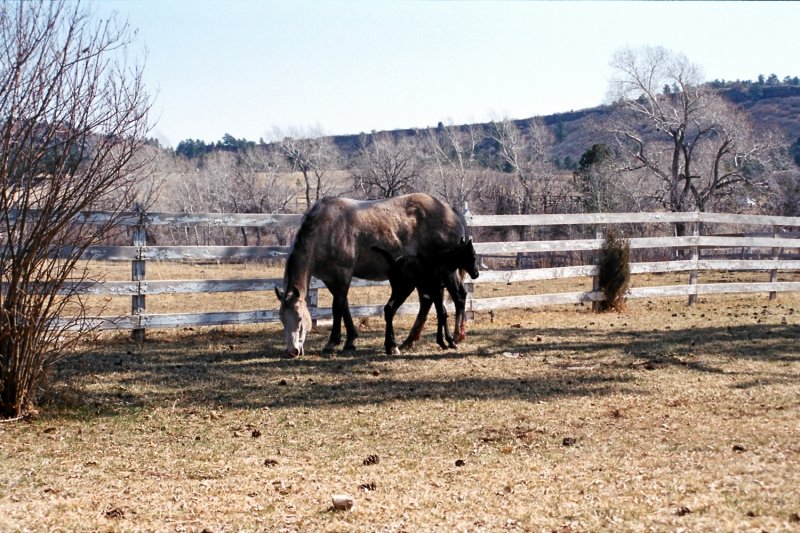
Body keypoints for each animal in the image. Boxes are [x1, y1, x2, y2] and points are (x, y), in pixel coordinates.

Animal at [276, 193, 468, 356]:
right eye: (282, 319)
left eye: (299, 318)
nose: (292, 351)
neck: (327, 228)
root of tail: (449, 209)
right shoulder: (331, 279)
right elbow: (344, 306)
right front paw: (350, 341)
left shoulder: (343, 274)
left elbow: (337, 307)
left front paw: (333, 342)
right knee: (427, 302)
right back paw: (409, 341)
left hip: (446, 273)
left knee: (459, 296)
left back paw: (456, 337)